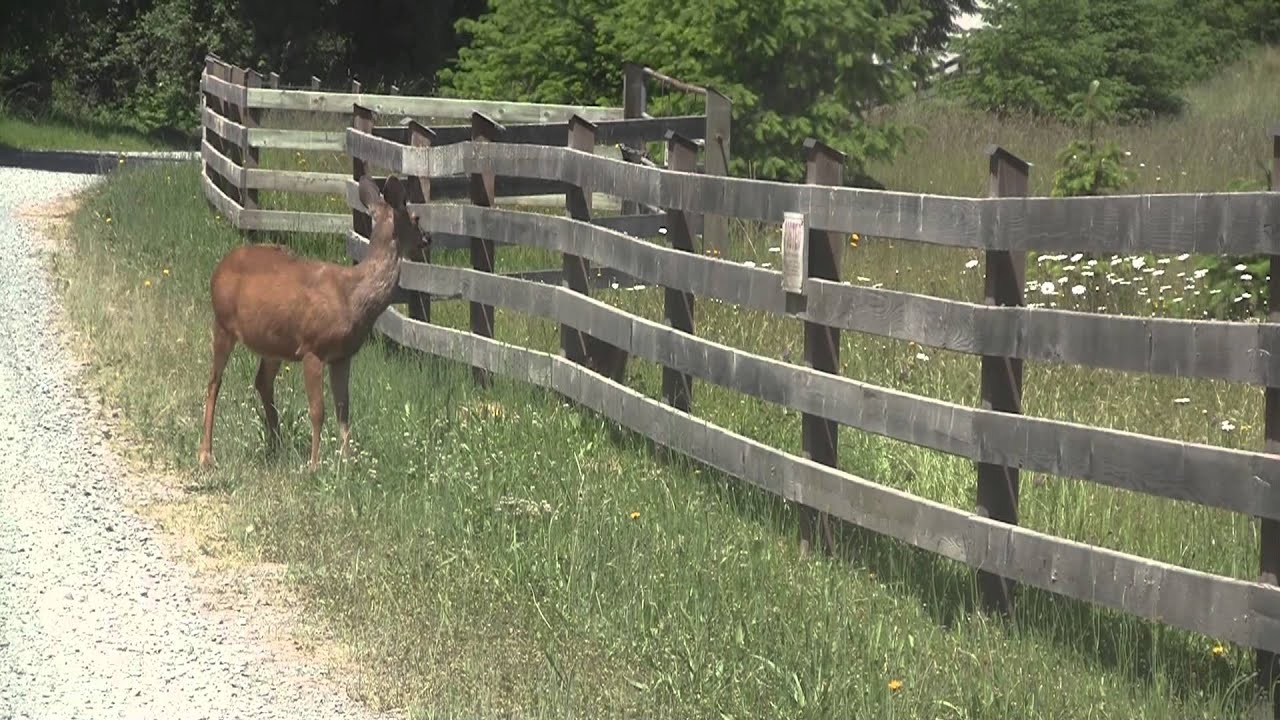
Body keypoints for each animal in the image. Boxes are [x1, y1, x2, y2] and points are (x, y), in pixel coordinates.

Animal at [198, 174, 428, 471]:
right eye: (415, 217)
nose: (427, 239)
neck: (353, 296)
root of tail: (219, 267)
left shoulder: (342, 356)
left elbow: (343, 409)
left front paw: (347, 463)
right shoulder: (312, 347)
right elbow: (318, 410)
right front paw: (314, 465)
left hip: (273, 344)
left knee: (262, 382)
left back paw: (277, 445)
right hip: (223, 322)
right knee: (214, 381)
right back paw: (206, 454)